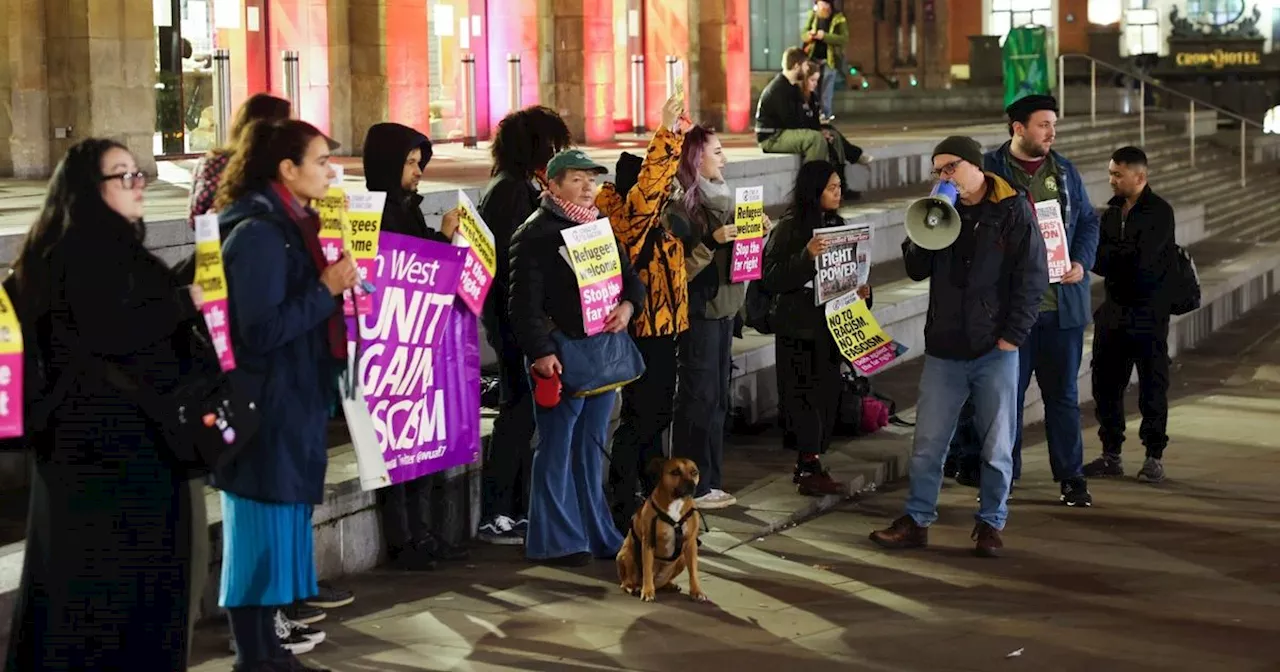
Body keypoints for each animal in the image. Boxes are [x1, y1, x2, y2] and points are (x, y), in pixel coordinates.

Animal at [611, 455, 711, 601]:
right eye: (675, 472)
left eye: (694, 472)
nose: (691, 485)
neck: (676, 502)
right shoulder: (648, 542)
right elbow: (647, 569)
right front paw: (647, 591)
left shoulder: (691, 543)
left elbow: (693, 571)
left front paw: (696, 591)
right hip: (625, 555)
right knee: (626, 581)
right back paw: (633, 587)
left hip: (681, 559)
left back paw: (669, 585)